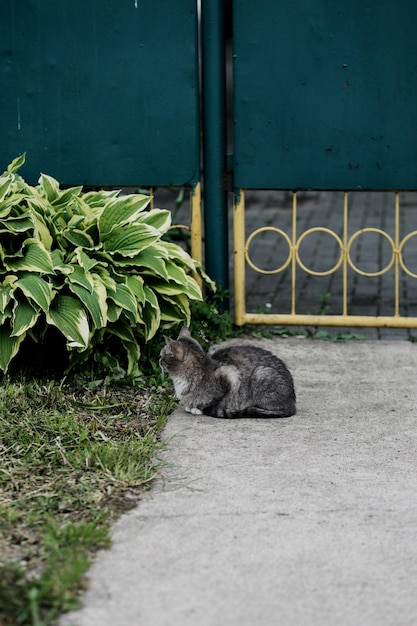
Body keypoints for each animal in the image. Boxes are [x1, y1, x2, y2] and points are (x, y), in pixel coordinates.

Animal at [159, 326, 296, 414]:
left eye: (161, 355)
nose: (159, 361)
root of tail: (292, 404)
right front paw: (190, 405)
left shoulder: (231, 375)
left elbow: (214, 400)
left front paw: (197, 408)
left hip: (262, 374)